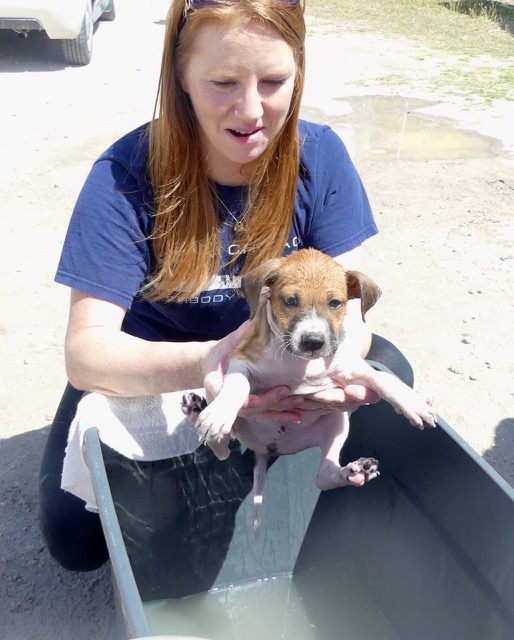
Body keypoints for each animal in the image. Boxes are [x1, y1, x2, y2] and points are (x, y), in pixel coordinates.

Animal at [182, 250, 434, 536]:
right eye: (290, 301)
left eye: (335, 303)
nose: (313, 342)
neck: (296, 362)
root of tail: (268, 449)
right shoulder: (241, 360)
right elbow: (237, 385)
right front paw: (220, 413)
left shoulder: (350, 367)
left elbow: (383, 378)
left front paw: (412, 402)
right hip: (235, 423)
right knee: (221, 449)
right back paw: (199, 411)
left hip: (337, 423)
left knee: (322, 477)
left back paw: (357, 470)